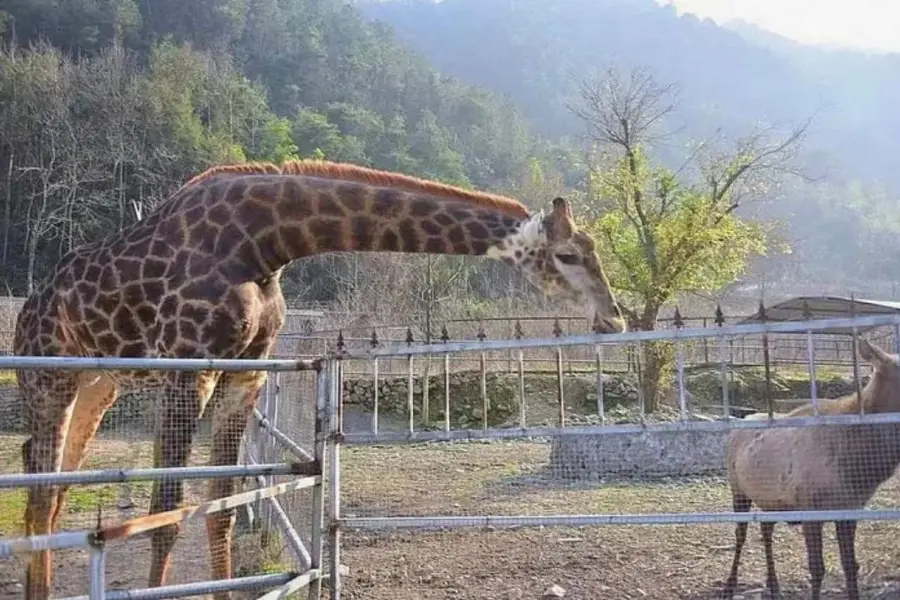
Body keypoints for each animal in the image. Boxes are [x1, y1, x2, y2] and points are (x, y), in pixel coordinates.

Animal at [19, 157, 624, 596]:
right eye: (568, 255)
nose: (614, 319)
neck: (264, 243)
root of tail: (29, 309)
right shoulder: (187, 368)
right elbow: (165, 514)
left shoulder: (245, 372)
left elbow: (221, 507)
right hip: (49, 377)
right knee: (41, 490)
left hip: (99, 384)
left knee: (49, 481)